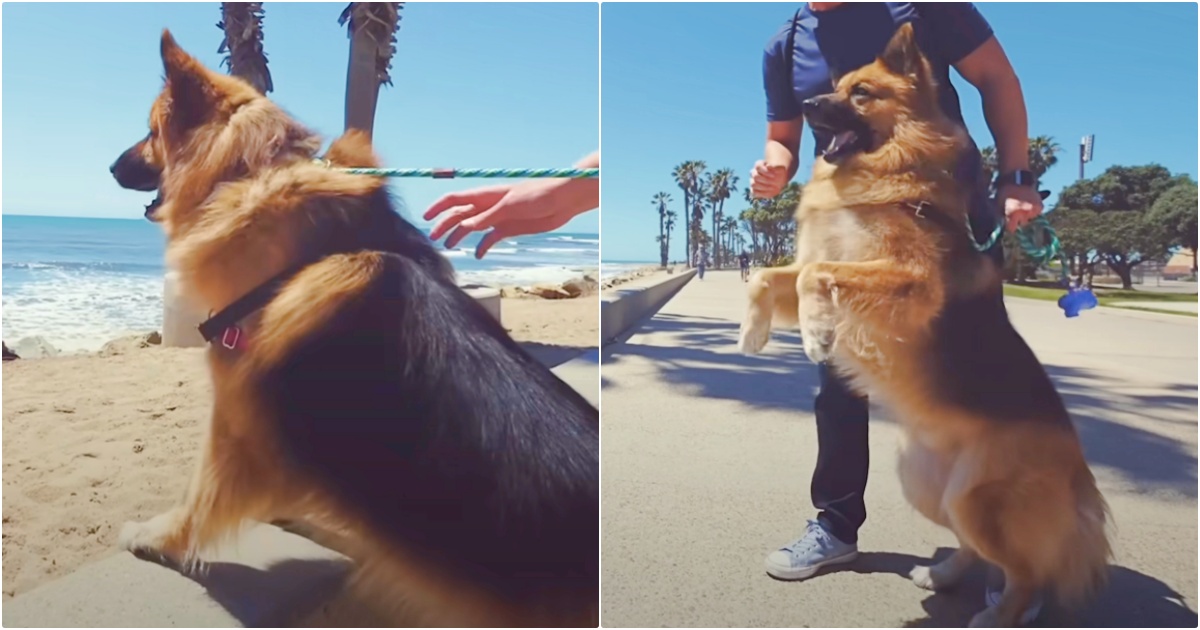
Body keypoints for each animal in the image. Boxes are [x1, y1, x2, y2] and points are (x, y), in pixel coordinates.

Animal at [734, 23, 1108, 624]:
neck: (888, 165)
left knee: (1025, 571)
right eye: (834, 86)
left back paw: (1000, 612)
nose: (807, 108)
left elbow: (816, 274)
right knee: (976, 548)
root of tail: (1078, 472)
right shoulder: (815, 268)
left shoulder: (906, 283)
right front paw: (752, 333)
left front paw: (816, 333)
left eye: (861, 93)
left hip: (978, 500)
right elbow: (766, 276)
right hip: (929, 487)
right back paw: (942, 574)